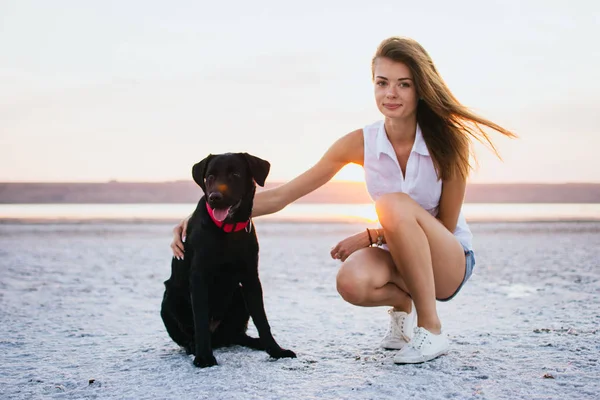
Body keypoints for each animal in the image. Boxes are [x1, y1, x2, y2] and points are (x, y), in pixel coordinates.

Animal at [161, 153, 296, 368]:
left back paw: (257, 342)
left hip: (238, 296)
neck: (228, 229)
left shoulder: (251, 278)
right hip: (169, 298)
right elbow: (200, 320)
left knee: (237, 335)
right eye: (210, 176)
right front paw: (204, 357)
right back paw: (193, 347)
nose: (215, 197)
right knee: (188, 336)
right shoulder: (198, 278)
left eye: (235, 174)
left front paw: (276, 350)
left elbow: (262, 320)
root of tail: (219, 338)